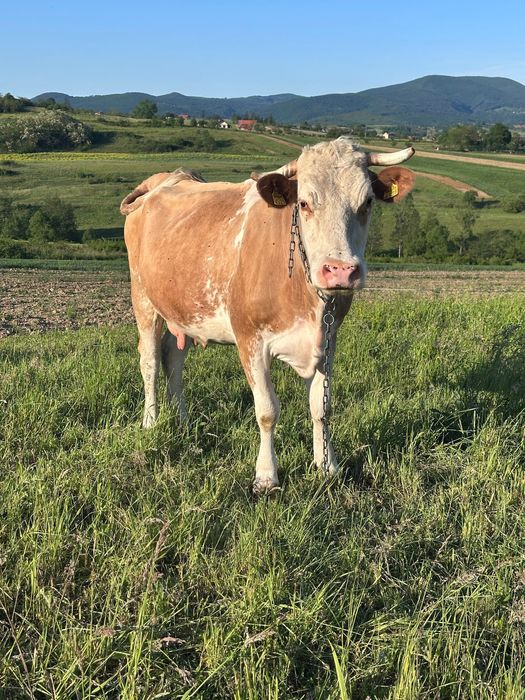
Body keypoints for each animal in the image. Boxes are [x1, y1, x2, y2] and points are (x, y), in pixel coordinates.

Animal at [120, 138, 415, 494]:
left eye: (367, 202)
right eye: (303, 203)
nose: (340, 271)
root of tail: (166, 178)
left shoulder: (328, 340)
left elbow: (322, 407)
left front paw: (327, 466)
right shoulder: (250, 340)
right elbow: (267, 411)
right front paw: (266, 475)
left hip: (186, 311)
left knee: (173, 359)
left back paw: (184, 423)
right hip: (143, 299)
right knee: (149, 361)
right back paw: (151, 422)